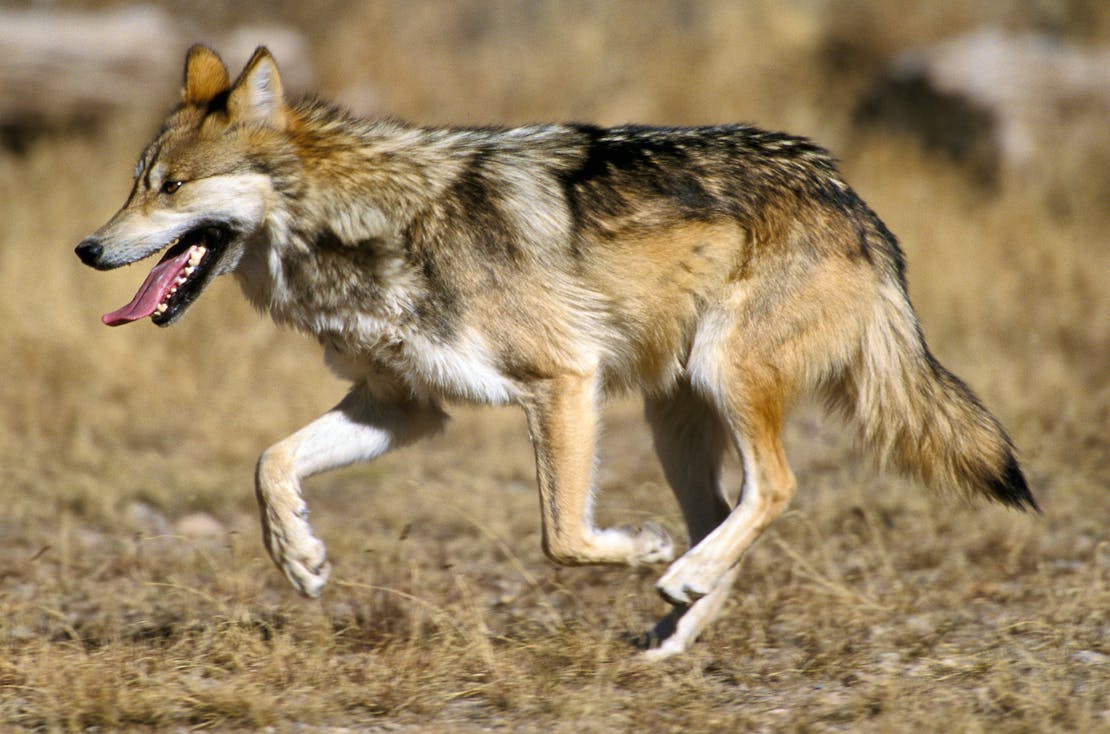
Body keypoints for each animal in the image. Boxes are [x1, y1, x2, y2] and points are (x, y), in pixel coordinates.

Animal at [73, 43, 1034, 657]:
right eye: (133, 184)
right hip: (674, 419)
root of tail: (849, 196)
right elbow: (270, 462)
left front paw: (637, 548)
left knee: (776, 488)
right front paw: (300, 559)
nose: (86, 248)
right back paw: (673, 626)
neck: (364, 226)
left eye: (171, 187)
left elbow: (563, 538)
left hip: (721, 378)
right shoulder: (403, 407)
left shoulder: (562, 382)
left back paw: (675, 576)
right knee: (727, 514)